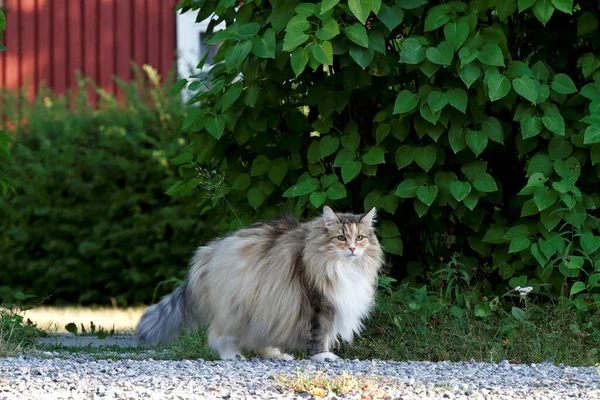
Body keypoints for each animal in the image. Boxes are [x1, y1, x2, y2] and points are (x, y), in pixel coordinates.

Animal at [135, 206, 384, 362]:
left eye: (360, 238)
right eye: (341, 238)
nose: (352, 248)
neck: (343, 266)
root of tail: (211, 250)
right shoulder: (319, 305)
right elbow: (320, 335)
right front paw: (322, 356)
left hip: (265, 309)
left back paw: (276, 355)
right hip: (239, 306)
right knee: (220, 335)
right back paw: (232, 355)